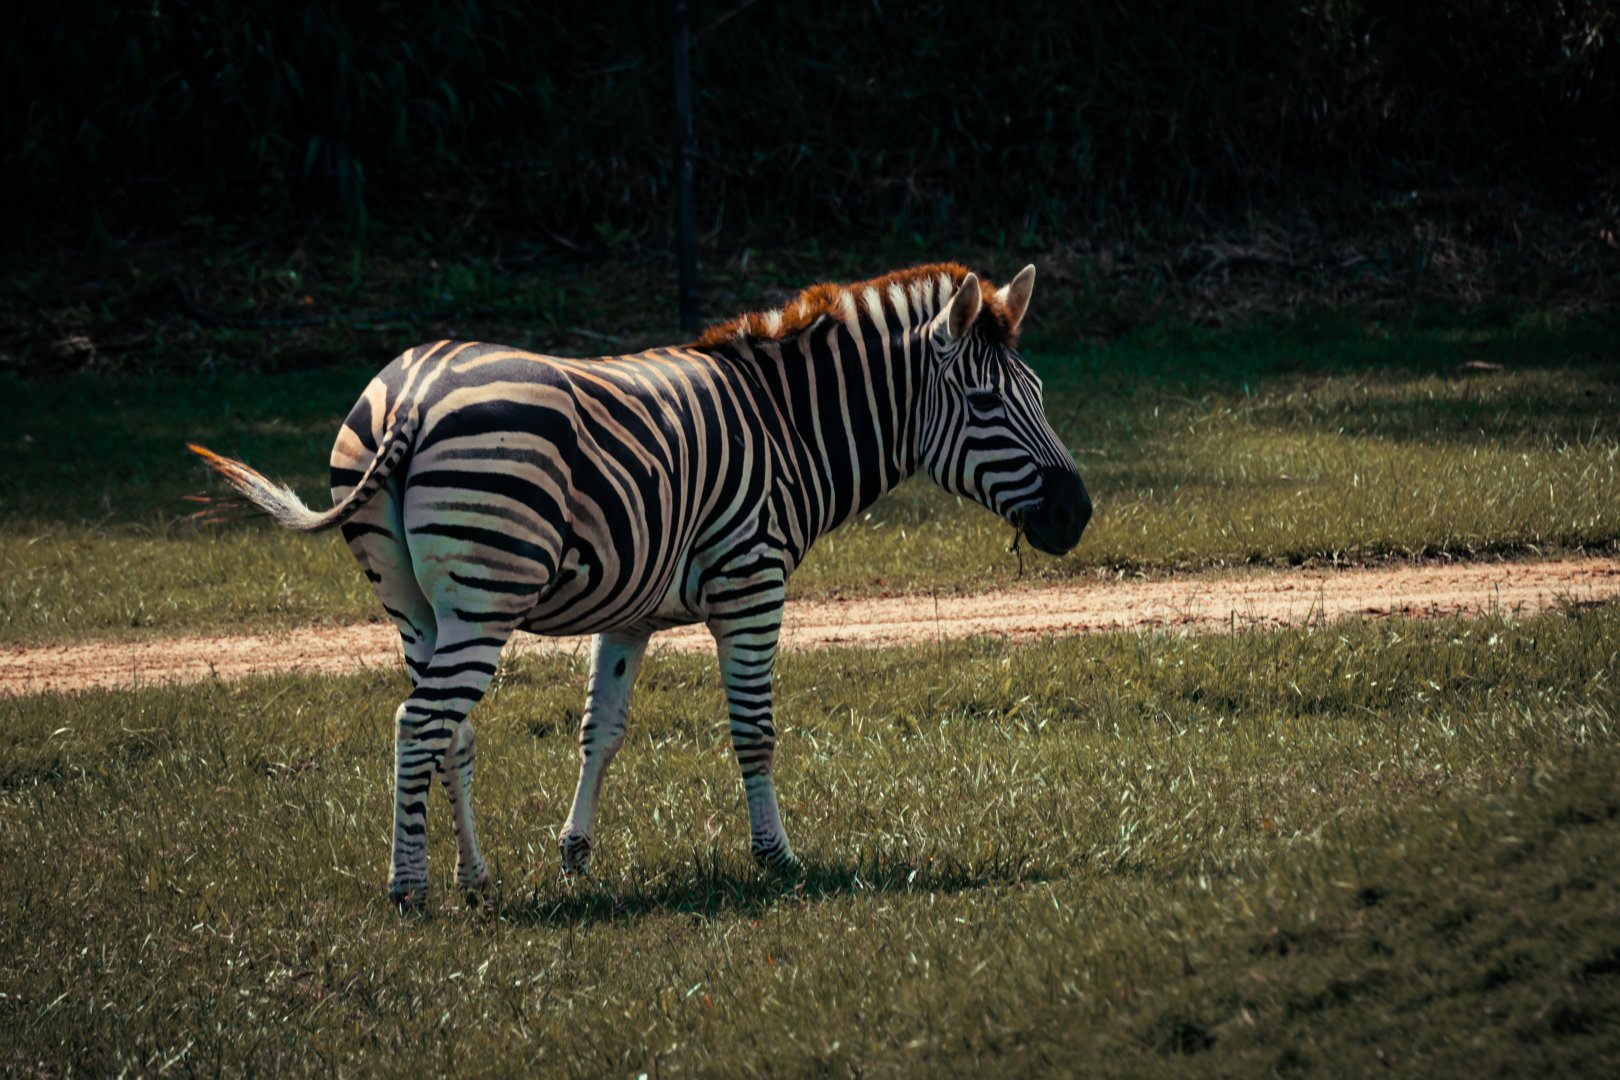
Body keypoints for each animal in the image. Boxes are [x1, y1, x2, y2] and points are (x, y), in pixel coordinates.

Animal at [190, 262, 1091, 904]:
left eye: (1042, 393)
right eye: (985, 403)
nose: (1078, 512)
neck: (787, 427)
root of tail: (409, 394)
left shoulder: (629, 613)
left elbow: (602, 731)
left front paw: (575, 852)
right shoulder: (752, 583)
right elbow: (754, 732)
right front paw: (777, 857)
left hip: (417, 608)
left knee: (451, 730)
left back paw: (475, 881)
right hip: (486, 597)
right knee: (419, 724)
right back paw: (408, 890)